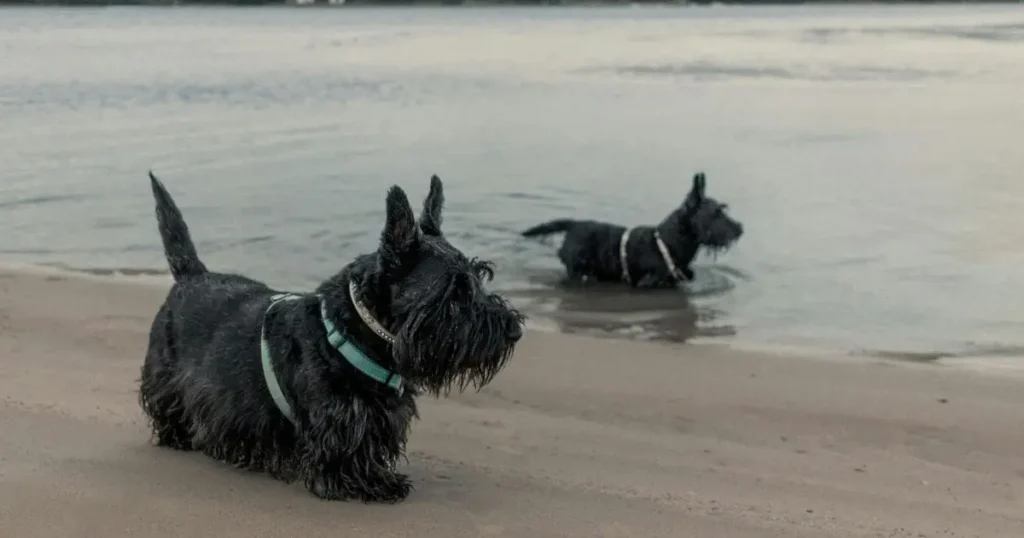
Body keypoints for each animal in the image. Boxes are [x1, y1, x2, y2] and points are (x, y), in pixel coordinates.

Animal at [140, 172, 524, 504]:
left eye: (480, 276)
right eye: (454, 292)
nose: (515, 330)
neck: (356, 332)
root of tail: (191, 274)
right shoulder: (339, 421)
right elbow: (344, 457)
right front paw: (372, 484)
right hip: (165, 375)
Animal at [524, 173, 741, 288]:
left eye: (722, 209)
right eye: (716, 213)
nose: (740, 228)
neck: (669, 242)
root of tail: (573, 224)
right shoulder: (649, 282)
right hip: (580, 271)